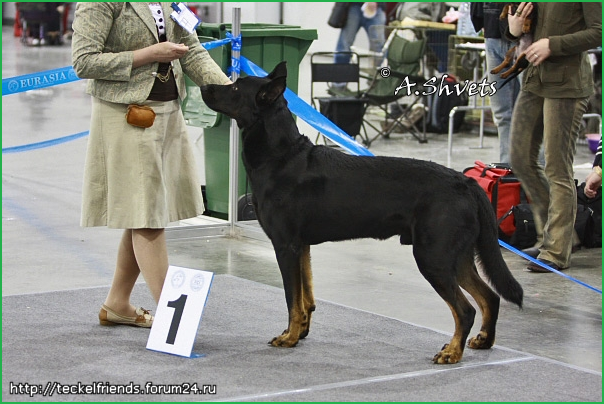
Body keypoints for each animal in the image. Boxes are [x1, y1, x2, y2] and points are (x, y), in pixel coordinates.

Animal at [201, 62, 520, 362]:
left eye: (234, 88)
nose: (204, 86)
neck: (281, 156)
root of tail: (467, 183)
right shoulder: (302, 247)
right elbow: (306, 298)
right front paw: (299, 332)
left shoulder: (286, 246)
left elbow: (292, 299)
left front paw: (289, 338)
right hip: (456, 256)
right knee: (490, 297)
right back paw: (483, 340)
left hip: (434, 257)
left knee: (465, 310)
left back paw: (452, 353)